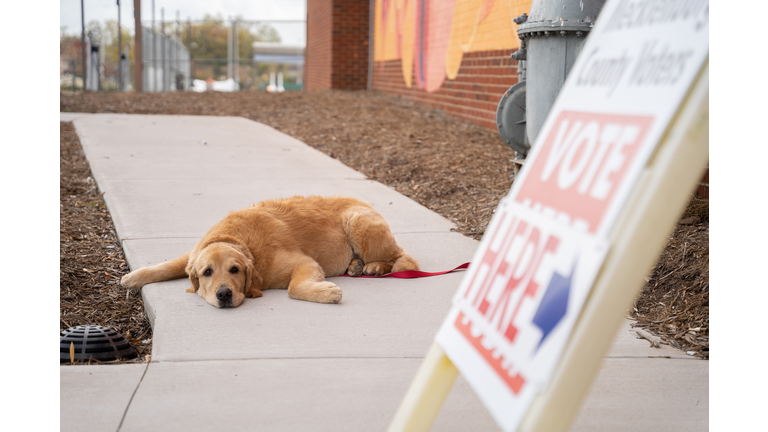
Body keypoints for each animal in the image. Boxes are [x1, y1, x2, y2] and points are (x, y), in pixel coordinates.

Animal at [121, 196, 420, 308]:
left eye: (235, 270)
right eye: (207, 272)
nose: (224, 294)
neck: (240, 241)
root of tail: (365, 202)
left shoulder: (304, 262)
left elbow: (294, 288)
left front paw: (327, 292)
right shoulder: (193, 254)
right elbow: (169, 264)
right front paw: (134, 277)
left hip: (358, 223)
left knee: (405, 259)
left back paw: (375, 267)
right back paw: (357, 266)